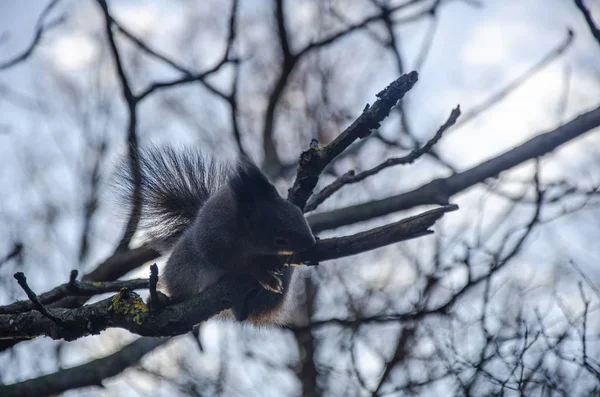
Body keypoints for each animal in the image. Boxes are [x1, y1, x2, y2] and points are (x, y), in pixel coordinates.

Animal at [115, 145, 316, 322]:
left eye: (297, 212)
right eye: (280, 240)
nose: (311, 243)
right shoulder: (214, 240)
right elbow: (236, 263)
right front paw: (262, 274)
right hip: (183, 274)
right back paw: (164, 300)